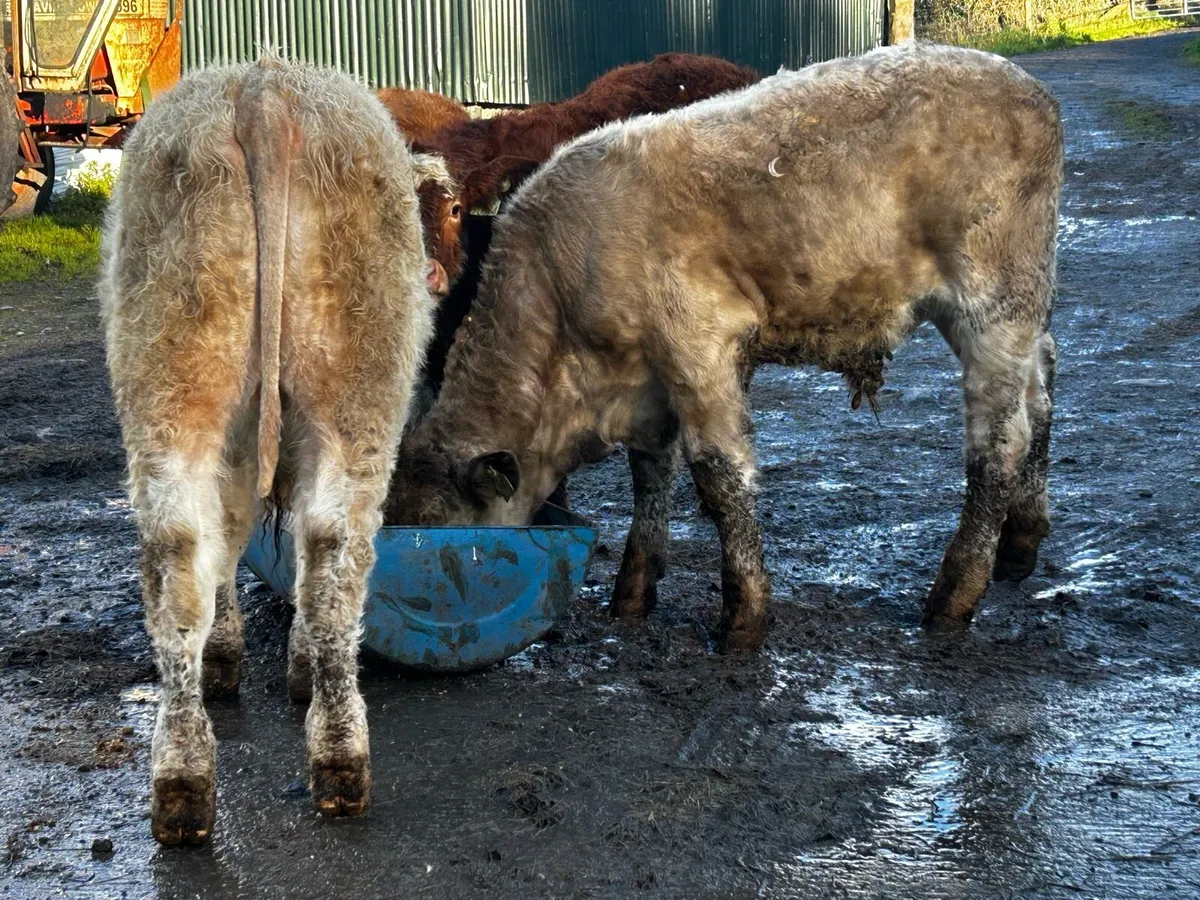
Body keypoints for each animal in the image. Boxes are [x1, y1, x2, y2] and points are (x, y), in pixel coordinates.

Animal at [101, 59, 436, 845]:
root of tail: (266, 87)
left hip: (176, 389)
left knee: (185, 554)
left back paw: (185, 778)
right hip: (354, 394)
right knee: (329, 558)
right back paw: (336, 755)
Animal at [384, 44, 1064, 647]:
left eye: (435, 532)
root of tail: (1026, 85)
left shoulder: (699, 347)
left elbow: (720, 477)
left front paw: (743, 615)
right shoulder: (646, 380)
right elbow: (650, 473)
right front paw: (633, 592)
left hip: (991, 306)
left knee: (999, 441)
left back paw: (955, 594)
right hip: (1015, 310)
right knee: (1041, 390)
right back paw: (1020, 543)